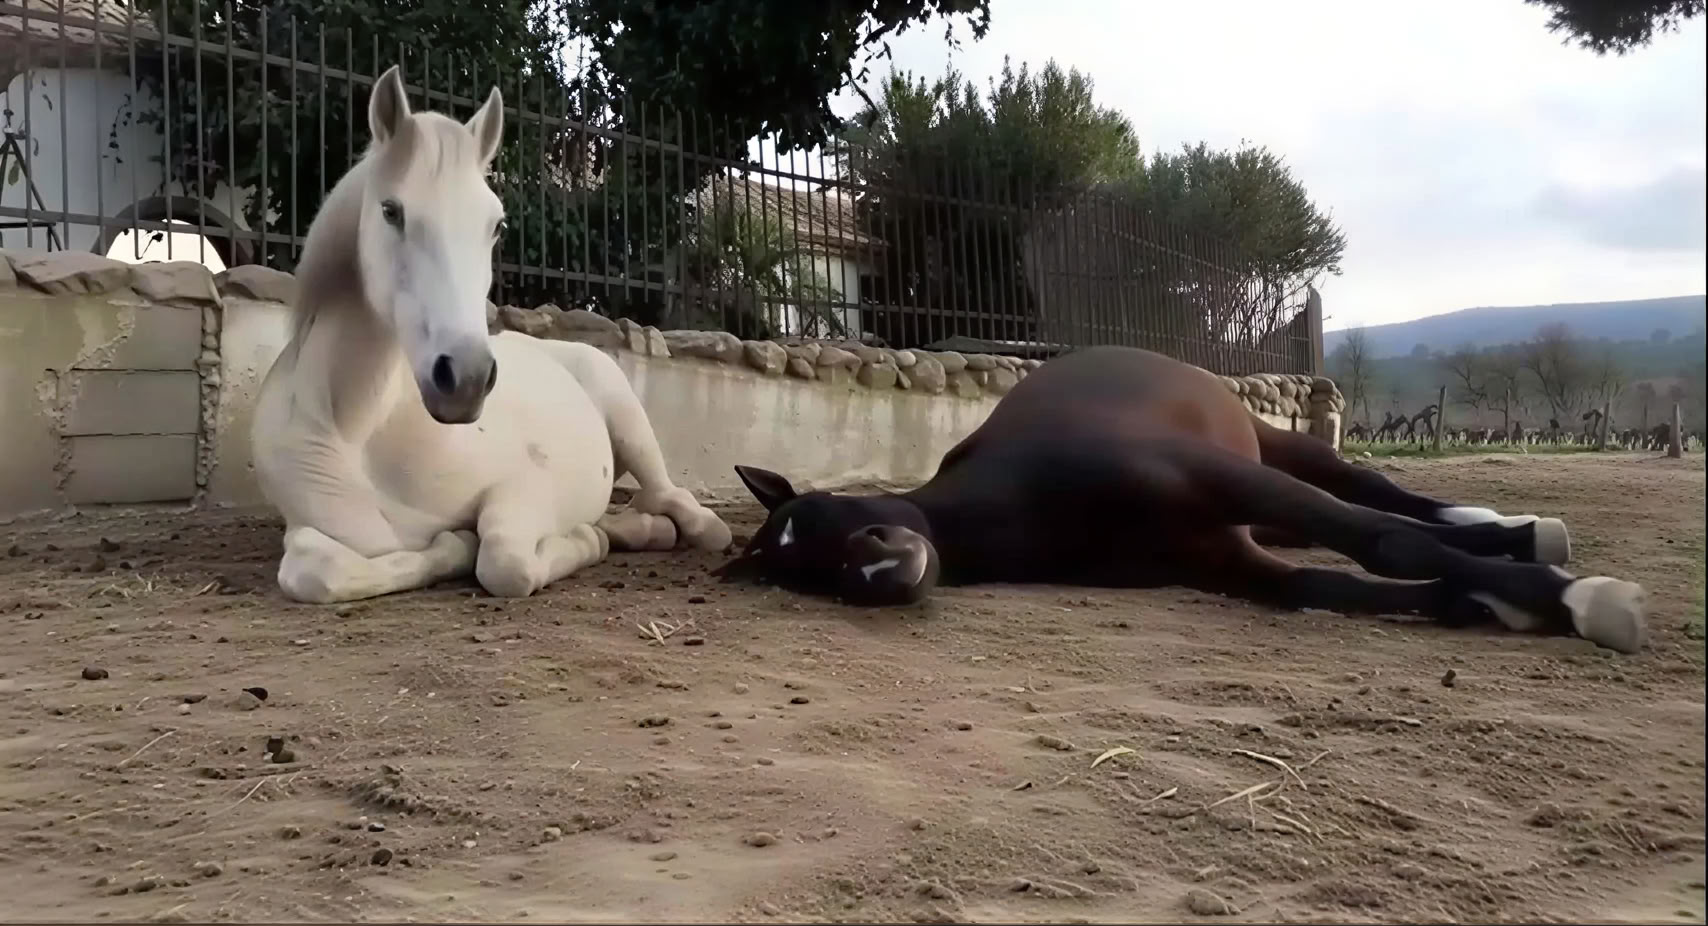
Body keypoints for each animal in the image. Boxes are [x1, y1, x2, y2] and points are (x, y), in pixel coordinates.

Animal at [251, 65, 731, 603]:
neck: (358, 431)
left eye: (497, 225)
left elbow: (505, 561)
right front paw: (457, 544)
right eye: (391, 211)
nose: (466, 378)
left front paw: (582, 541)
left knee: (678, 502)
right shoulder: (308, 532)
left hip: (631, 426)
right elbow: (312, 569)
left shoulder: (525, 488)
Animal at [712, 346, 1647, 654]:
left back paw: (1517, 529)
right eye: (811, 578)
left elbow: (1383, 540)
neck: (1020, 499)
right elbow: (1332, 586)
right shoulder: (1223, 559)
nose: (878, 569)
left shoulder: (1229, 480)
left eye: (816, 517)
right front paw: (1501, 605)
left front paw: (1582, 600)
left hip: (1282, 451)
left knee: (1378, 494)